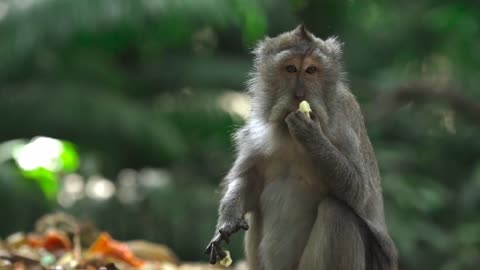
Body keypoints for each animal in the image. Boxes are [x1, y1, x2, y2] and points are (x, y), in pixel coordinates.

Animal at [205, 25, 398, 270]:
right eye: (290, 68)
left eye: (311, 70)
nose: (299, 95)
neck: (288, 134)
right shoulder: (257, 131)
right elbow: (250, 179)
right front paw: (228, 220)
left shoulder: (345, 123)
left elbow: (359, 192)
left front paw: (311, 135)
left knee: (337, 212)